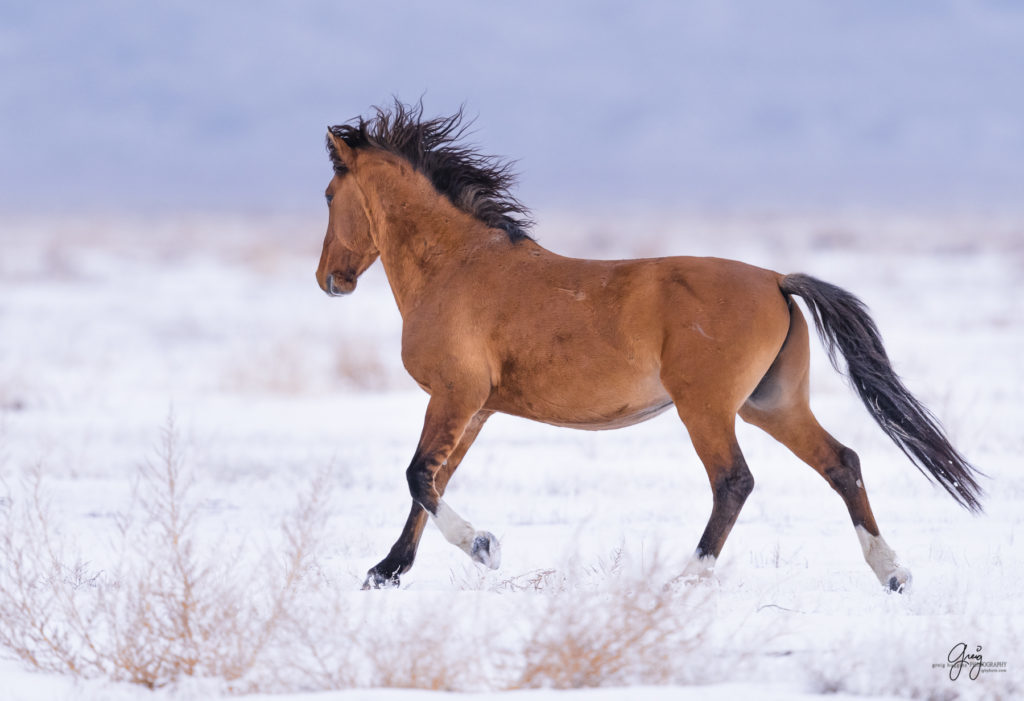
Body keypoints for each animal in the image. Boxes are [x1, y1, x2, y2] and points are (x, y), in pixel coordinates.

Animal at [313, 99, 983, 589]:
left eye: (326, 195)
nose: (329, 280)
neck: (458, 267)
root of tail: (775, 279)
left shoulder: (455, 394)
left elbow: (419, 477)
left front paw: (482, 547)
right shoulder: (474, 407)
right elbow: (434, 481)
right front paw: (386, 570)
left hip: (707, 407)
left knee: (734, 481)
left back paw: (688, 576)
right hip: (771, 404)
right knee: (842, 463)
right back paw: (892, 572)